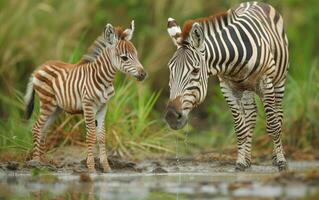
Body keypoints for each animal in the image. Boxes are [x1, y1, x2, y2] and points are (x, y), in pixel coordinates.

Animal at [24, 20, 147, 173]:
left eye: (136, 55)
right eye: (124, 57)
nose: (143, 74)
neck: (103, 79)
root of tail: (39, 68)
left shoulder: (103, 106)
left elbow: (101, 136)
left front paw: (106, 167)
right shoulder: (88, 105)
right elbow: (91, 135)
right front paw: (91, 167)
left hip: (56, 108)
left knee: (44, 129)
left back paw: (45, 162)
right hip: (47, 103)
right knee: (36, 127)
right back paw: (36, 163)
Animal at [165, 0, 290, 171]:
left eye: (195, 70)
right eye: (170, 69)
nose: (171, 116)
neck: (233, 58)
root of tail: (256, 2)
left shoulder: (266, 82)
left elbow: (273, 124)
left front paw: (281, 162)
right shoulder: (227, 87)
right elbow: (240, 128)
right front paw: (240, 161)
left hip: (278, 81)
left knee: (279, 115)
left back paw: (276, 157)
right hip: (246, 88)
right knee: (251, 116)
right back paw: (248, 159)